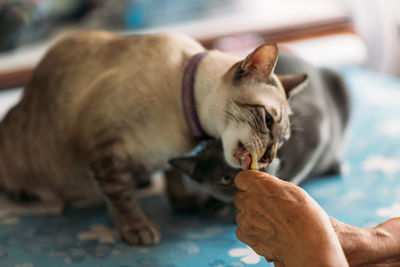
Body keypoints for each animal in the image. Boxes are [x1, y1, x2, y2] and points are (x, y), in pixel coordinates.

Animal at [0, 30, 306, 246]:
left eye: (283, 142)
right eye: (268, 120)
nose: (266, 158)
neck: (187, 127)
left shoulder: (165, 155)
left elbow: (172, 174)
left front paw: (183, 203)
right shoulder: (102, 144)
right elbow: (120, 195)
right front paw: (137, 229)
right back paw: (24, 195)